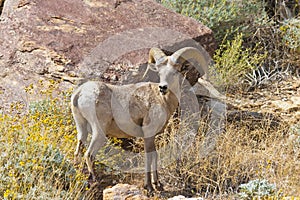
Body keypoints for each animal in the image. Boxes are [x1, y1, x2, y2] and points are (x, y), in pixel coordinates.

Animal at [71, 46, 210, 192]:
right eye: (160, 73)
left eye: (175, 72)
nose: (163, 87)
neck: (163, 101)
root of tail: (79, 93)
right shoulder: (148, 134)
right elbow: (149, 156)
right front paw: (149, 186)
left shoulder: (152, 136)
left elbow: (155, 155)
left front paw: (158, 184)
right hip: (99, 132)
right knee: (89, 154)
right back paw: (95, 179)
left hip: (81, 128)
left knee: (78, 150)